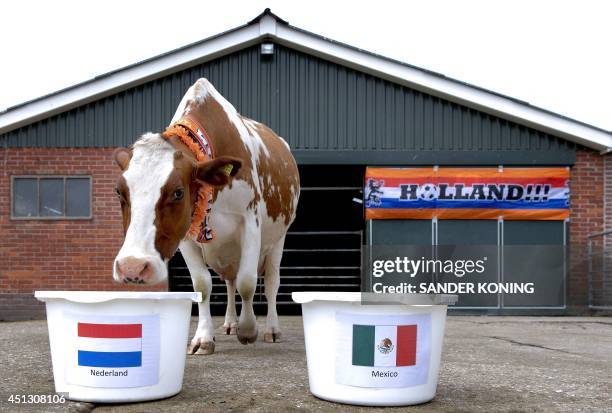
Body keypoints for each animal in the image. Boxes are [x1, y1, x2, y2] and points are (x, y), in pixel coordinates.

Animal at [112, 78, 302, 354]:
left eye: (178, 192)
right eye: (119, 191)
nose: (133, 267)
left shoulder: (250, 222)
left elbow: (248, 282)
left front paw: (248, 330)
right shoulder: (184, 236)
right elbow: (203, 286)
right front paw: (203, 338)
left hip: (278, 239)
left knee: (270, 283)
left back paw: (271, 329)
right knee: (230, 282)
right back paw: (230, 323)